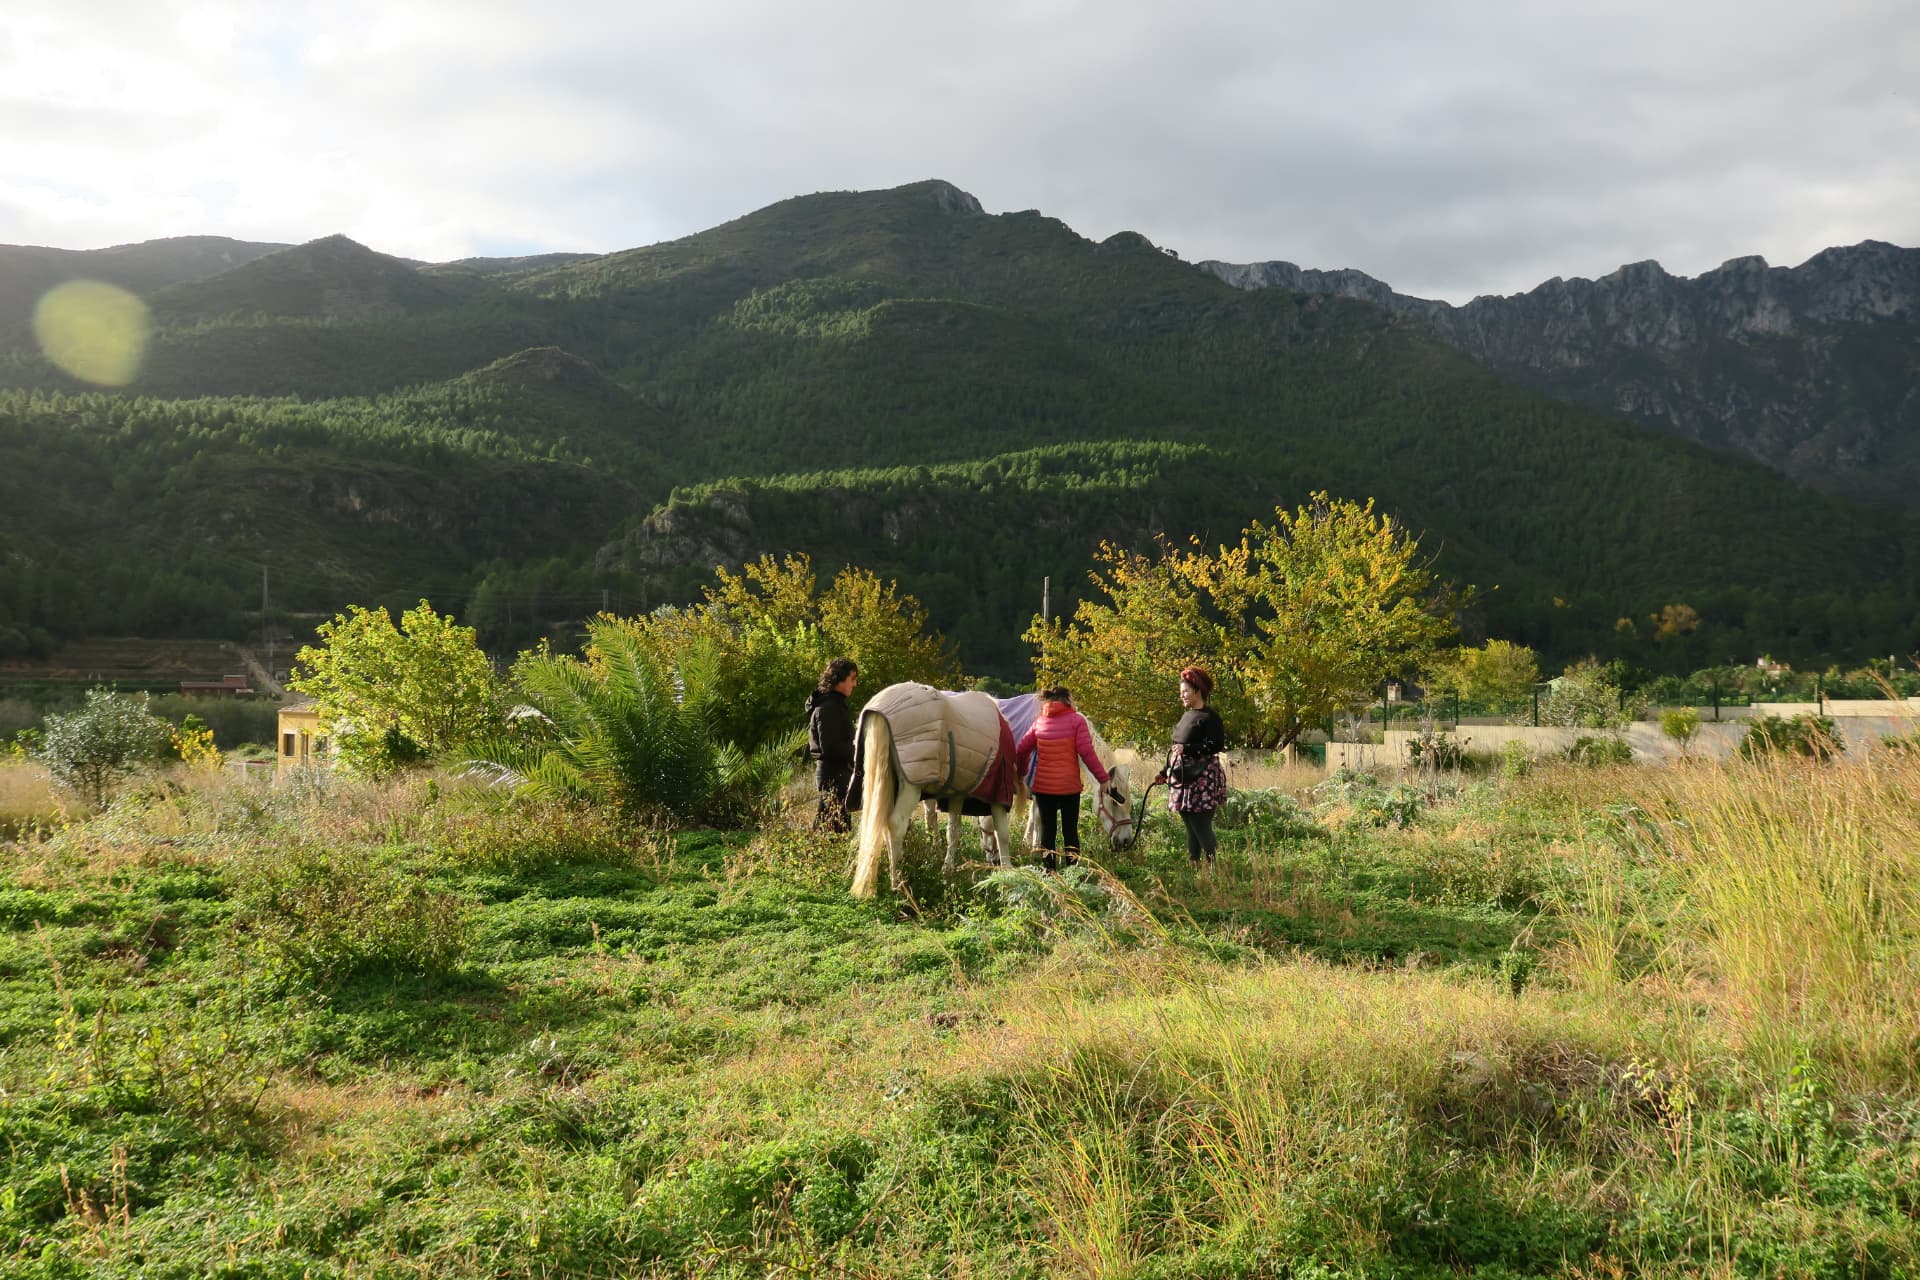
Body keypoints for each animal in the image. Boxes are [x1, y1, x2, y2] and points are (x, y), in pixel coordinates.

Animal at [851, 683, 1018, 898]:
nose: (994, 862)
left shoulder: (957, 794)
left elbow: (953, 832)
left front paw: (947, 872)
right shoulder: (997, 795)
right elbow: (1002, 833)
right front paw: (1008, 874)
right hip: (910, 786)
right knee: (895, 825)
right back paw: (898, 883)